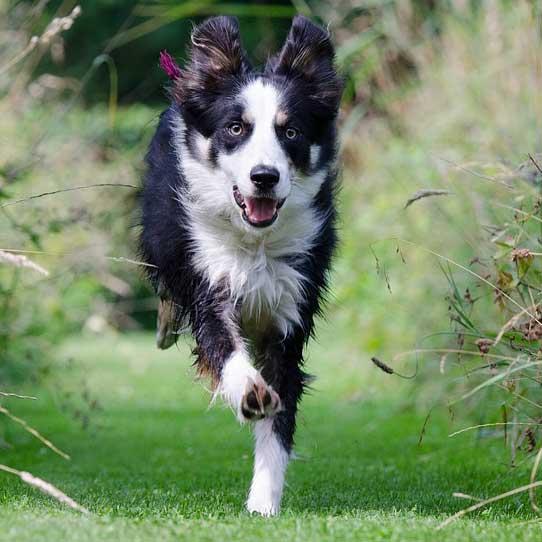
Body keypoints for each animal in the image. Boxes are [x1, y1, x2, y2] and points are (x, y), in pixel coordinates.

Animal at [140, 14, 344, 520]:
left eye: (290, 133)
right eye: (235, 128)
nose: (264, 177)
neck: (256, 243)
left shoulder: (291, 305)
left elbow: (279, 415)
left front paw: (263, 502)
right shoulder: (208, 276)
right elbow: (221, 343)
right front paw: (248, 390)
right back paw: (166, 325)